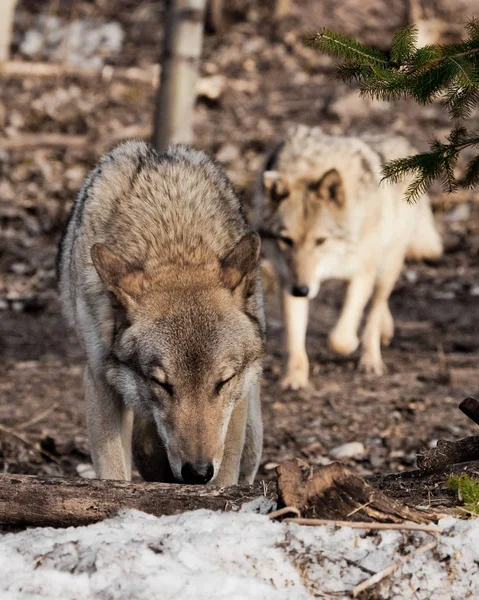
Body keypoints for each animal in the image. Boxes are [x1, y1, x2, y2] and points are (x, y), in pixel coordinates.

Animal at [59, 143, 266, 486]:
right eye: (162, 383)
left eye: (222, 382)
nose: (197, 473)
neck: (175, 245)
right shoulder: (100, 380)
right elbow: (113, 472)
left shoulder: (237, 399)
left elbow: (226, 474)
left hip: (253, 431)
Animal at [255, 125, 442, 390]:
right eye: (286, 240)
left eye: (320, 240)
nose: (302, 290)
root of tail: (404, 144)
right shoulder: (287, 279)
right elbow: (294, 337)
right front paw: (294, 378)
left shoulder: (361, 273)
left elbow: (340, 339)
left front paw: (352, 343)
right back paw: (386, 331)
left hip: (387, 267)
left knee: (375, 309)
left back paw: (371, 360)